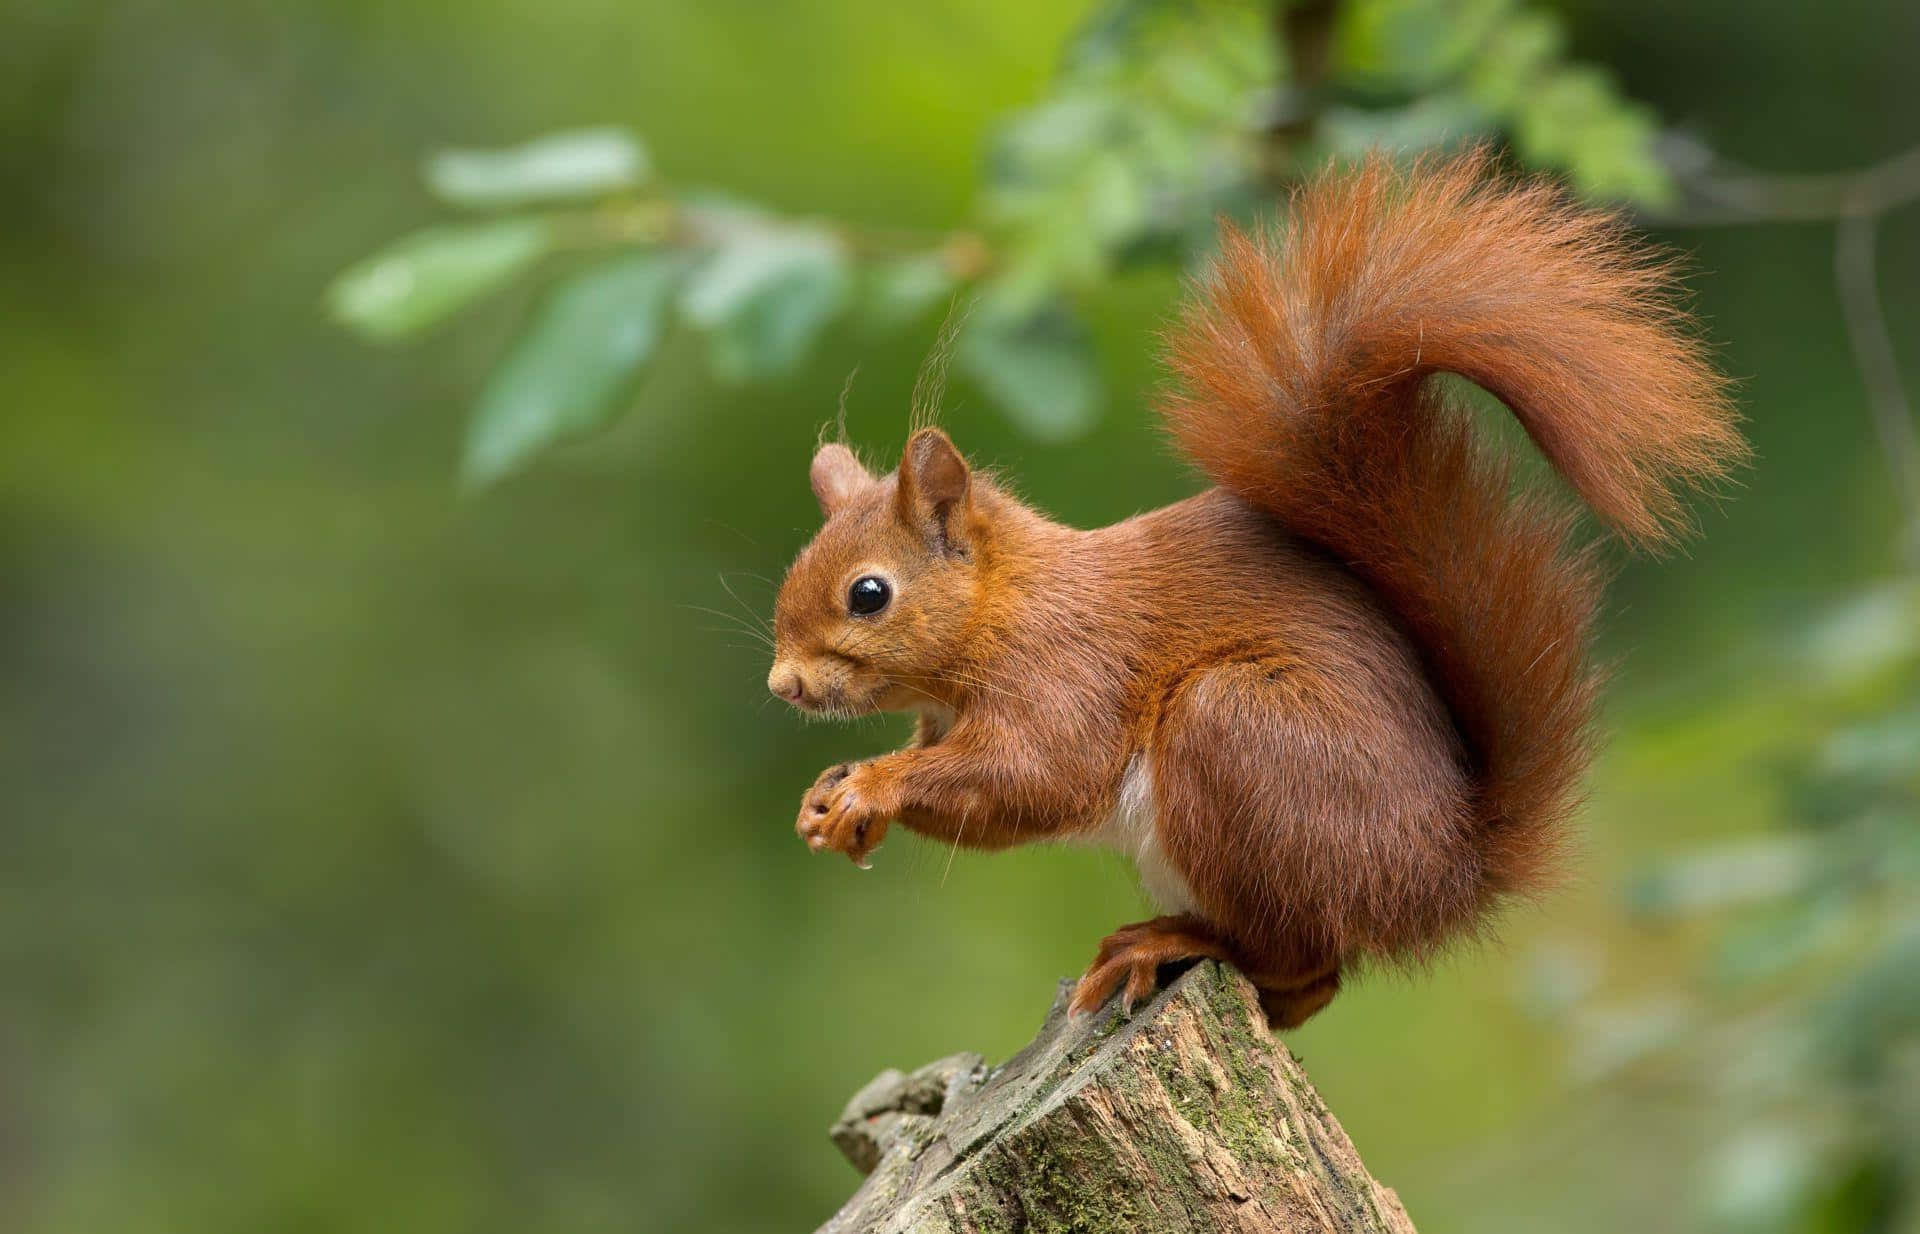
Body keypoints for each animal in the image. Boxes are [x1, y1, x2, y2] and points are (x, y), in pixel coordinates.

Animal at [766, 150, 1745, 1028]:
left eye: (868, 594)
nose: (784, 685)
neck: (1004, 609)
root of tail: (1443, 880)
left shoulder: (1068, 671)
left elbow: (1035, 776)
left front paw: (872, 787)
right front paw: (829, 796)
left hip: (1238, 736)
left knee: (1302, 957)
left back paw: (1171, 942)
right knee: (1313, 987)